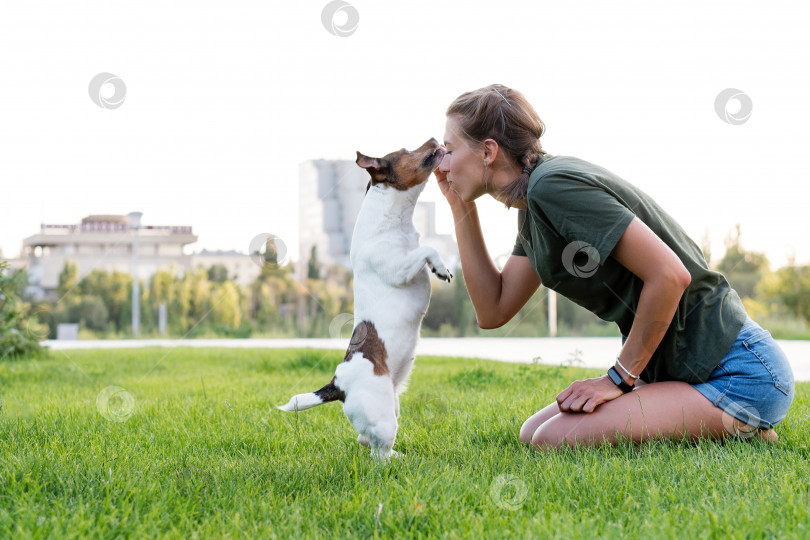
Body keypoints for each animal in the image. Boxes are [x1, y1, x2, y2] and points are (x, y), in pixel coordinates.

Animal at [278, 137, 452, 462]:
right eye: (406, 151)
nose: (436, 139)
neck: (392, 220)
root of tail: (337, 384)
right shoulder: (399, 268)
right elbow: (428, 249)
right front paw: (441, 268)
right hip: (384, 417)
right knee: (377, 454)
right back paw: (400, 462)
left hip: (391, 407)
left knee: (365, 440)